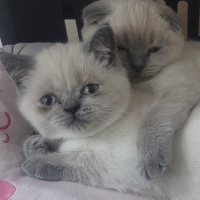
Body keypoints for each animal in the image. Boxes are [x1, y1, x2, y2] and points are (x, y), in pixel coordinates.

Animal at [81, 0, 200, 179]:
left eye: (154, 49)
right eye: (121, 48)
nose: (138, 65)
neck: (139, 85)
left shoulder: (178, 86)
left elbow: (152, 118)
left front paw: (150, 159)